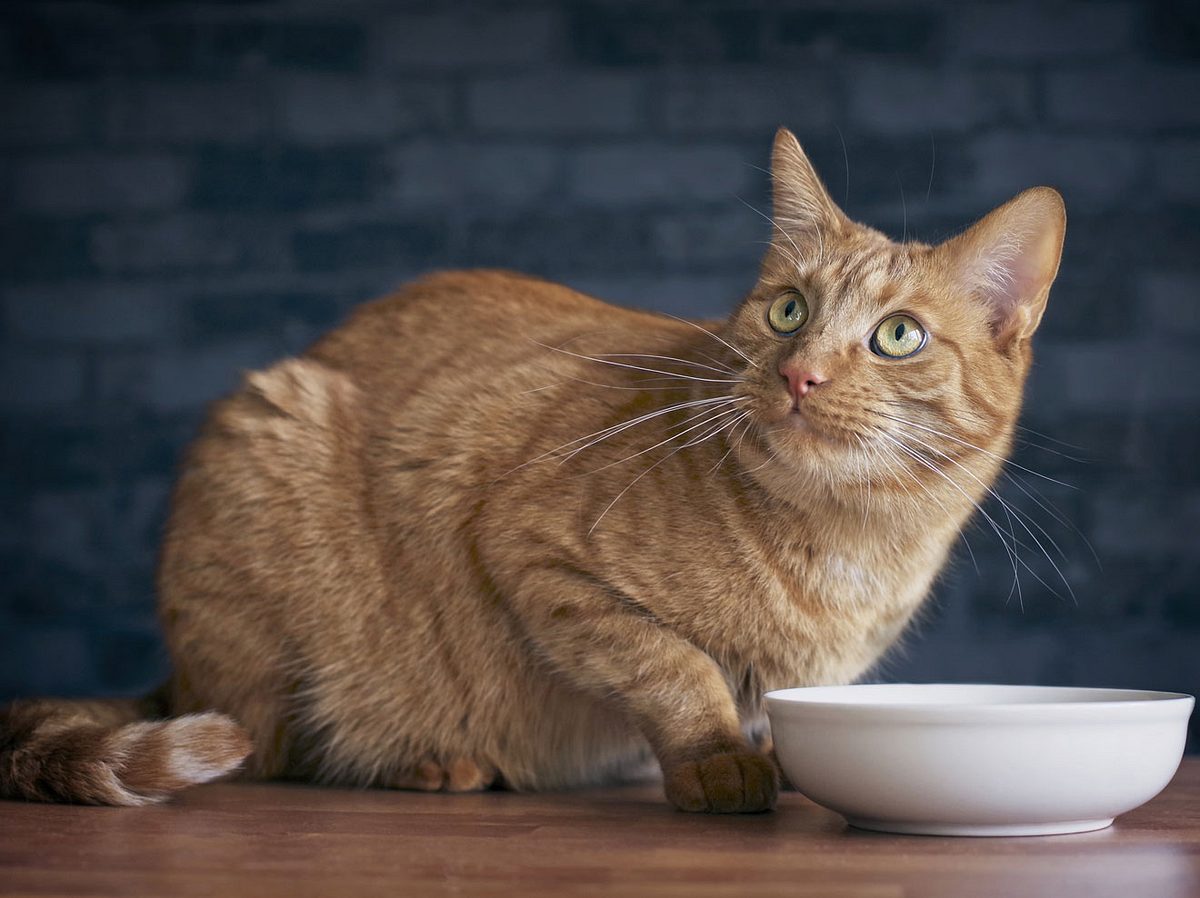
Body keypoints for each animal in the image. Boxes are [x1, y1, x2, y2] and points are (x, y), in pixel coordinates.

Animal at [2, 131, 1070, 811]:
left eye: (898, 336)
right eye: (788, 312)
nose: (798, 374)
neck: (848, 541)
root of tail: (178, 682)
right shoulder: (535, 549)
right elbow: (676, 667)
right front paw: (717, 762)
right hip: (269, 458)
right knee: (275, 748)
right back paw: (433, 762)